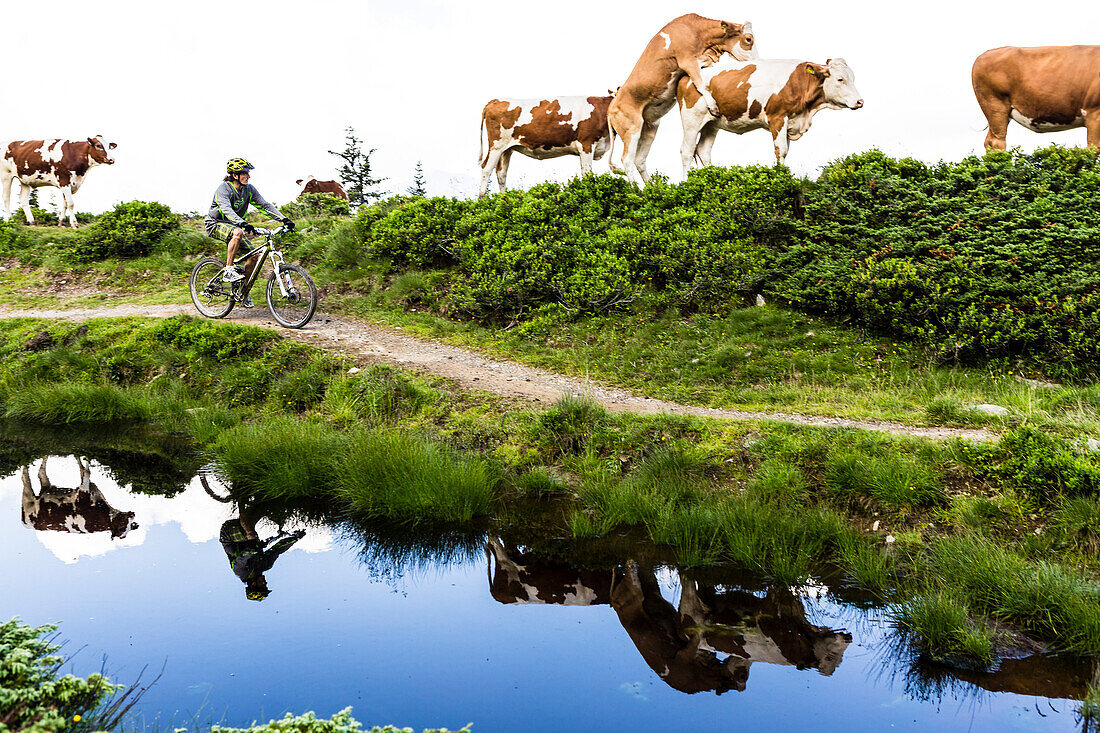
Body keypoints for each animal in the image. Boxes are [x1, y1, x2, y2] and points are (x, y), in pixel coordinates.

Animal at [477, 94, 616, 197]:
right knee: (486, 168)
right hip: (496, 146)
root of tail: (496, 101)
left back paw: (503, 200)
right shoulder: (586, 144)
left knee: (501, 172)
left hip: (507, 149)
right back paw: (482, 200)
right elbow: (587, 174)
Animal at [607, 14, 761, 182]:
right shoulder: (687, 61)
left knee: (639, 159)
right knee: (627, 159)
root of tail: (611, 107)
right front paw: (713, 106)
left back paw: (651, 186)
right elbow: (700, 83)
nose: (758, 61)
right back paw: (637, 188)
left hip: (650, 127)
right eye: (748, 39)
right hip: (632, 128)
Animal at [673, 56, 862, 172]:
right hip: (691, 120)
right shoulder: (777, 118)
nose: (860, 101)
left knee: (703, 150)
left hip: (712, 123)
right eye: (840, 79)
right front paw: (782, 178)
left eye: (853, 77)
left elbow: (785, 151)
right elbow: (781, 150)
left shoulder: (790, 122)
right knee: (687, 150)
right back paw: (686, 183)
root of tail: (687, 77)